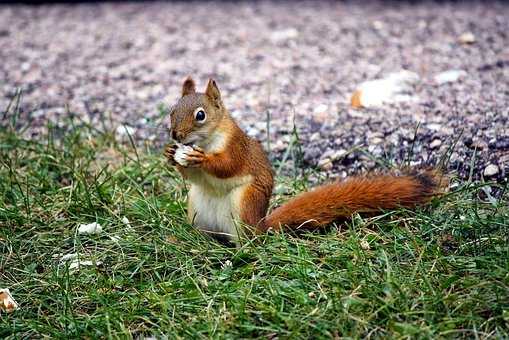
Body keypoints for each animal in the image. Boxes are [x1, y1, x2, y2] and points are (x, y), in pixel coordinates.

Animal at [165, 77, 442, 242]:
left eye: (200, 115)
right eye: (172, 110)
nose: (175, 135)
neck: (206, 140)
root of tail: (261, 225)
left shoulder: (236, 147)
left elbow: (226, 166)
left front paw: (201, 158)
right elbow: (190, 174)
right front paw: (171, 154)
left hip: (243, 204)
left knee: (249, 242)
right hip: (197, 207)